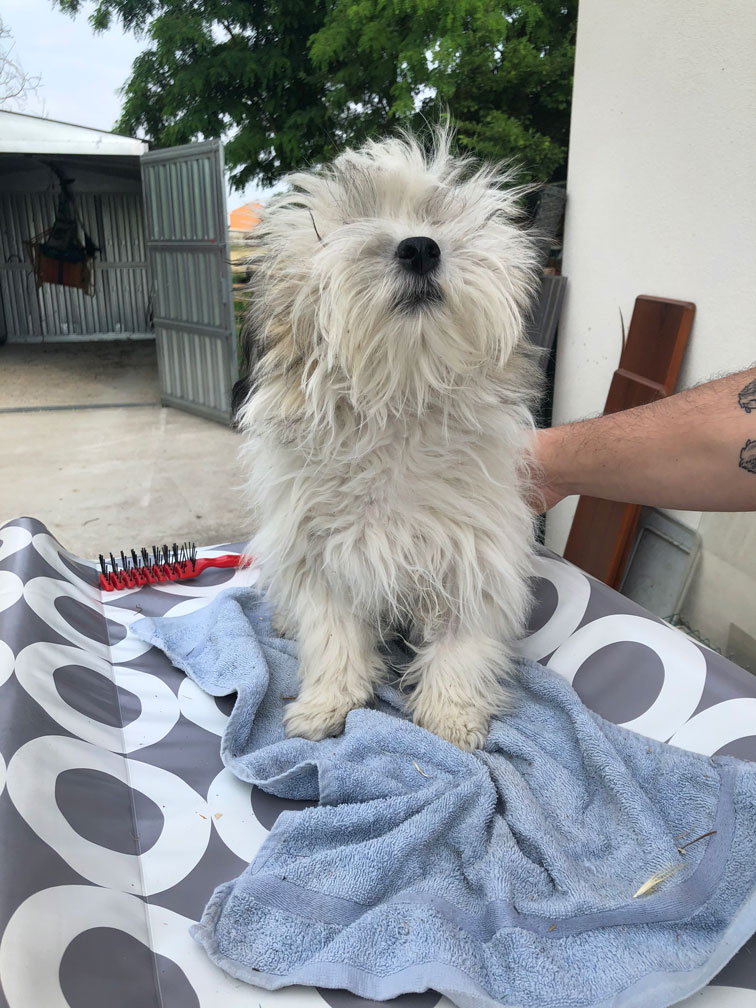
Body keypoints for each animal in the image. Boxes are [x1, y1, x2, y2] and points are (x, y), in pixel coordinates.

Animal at [234, 129, 541, 750]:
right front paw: (327, 704)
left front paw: (451, 715)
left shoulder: (476, 554)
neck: (398, 405)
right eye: (350, 221)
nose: (420, 247)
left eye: (438, 217)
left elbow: (461, 643)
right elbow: (333, 637)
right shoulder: (319, 557)